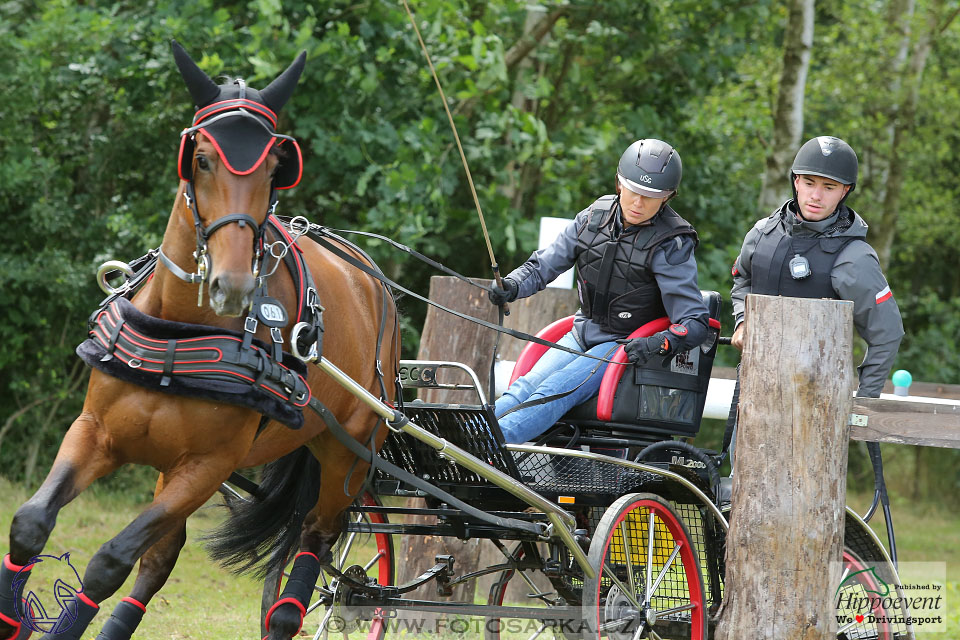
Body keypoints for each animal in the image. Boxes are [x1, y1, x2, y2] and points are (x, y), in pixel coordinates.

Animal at [0, 41, 398, 640]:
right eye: (202, 159)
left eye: (275, 169)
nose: (231, 285)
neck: (180, 331)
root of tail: (373, 280)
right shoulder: (95, 432)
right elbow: (30, 524)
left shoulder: (208, 467)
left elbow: (109, 560)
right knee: (163, 557)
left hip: (347, 459)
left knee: (316, 538)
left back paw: (292, 609)